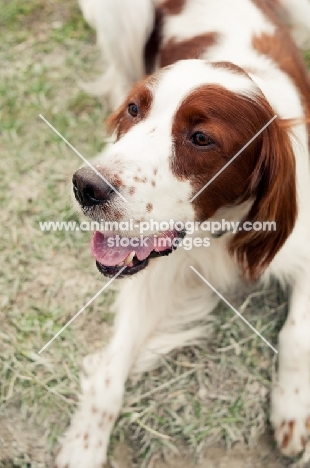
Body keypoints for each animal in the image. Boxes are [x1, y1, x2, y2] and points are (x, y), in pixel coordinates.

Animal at [55, 0, 310, 468]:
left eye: (201, 138)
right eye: (134, 111)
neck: (216, 230)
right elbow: (109, 374)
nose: (86, 186)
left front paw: (292, 406)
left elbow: (297, 333)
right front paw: (84, 443)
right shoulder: (149, 277)